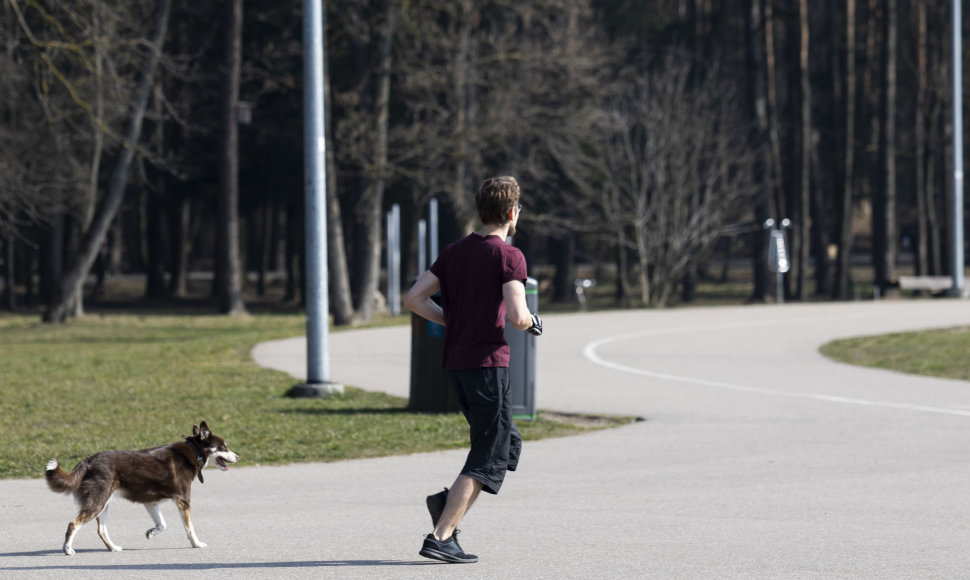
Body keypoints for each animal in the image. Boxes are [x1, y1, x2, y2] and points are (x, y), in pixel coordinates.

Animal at [46, 422, 239, 556]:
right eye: (224, 447)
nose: (238, 456)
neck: (194, 452)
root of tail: (87, 461)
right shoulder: (183, 501)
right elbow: (190, 529)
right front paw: (196, 544)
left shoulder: (151, 502)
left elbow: (162, 524)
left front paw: (151, 533)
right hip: (97, 503)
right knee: (73, 524)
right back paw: (68, 549)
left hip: (103, 504)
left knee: (101, 530)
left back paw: (113, 547)